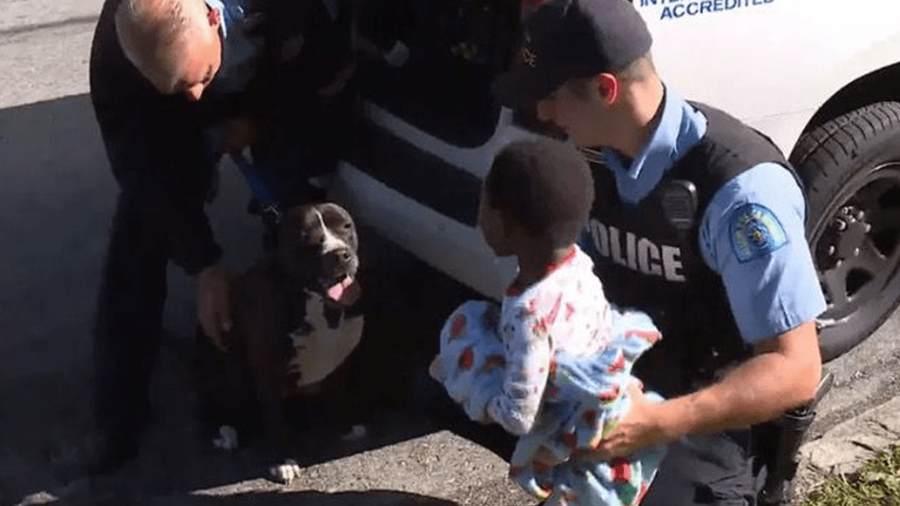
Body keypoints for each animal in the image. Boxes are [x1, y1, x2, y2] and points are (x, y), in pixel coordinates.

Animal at [192, 202, 364, 478]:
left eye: (346, 226)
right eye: (306, 238)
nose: (340, 254)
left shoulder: (343, 358)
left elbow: (341, 391)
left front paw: (347, 425)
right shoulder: (268, 371)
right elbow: (275, 421)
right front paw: (282, 461)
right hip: (224, 373)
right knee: (212, 408)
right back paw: (227, 430)